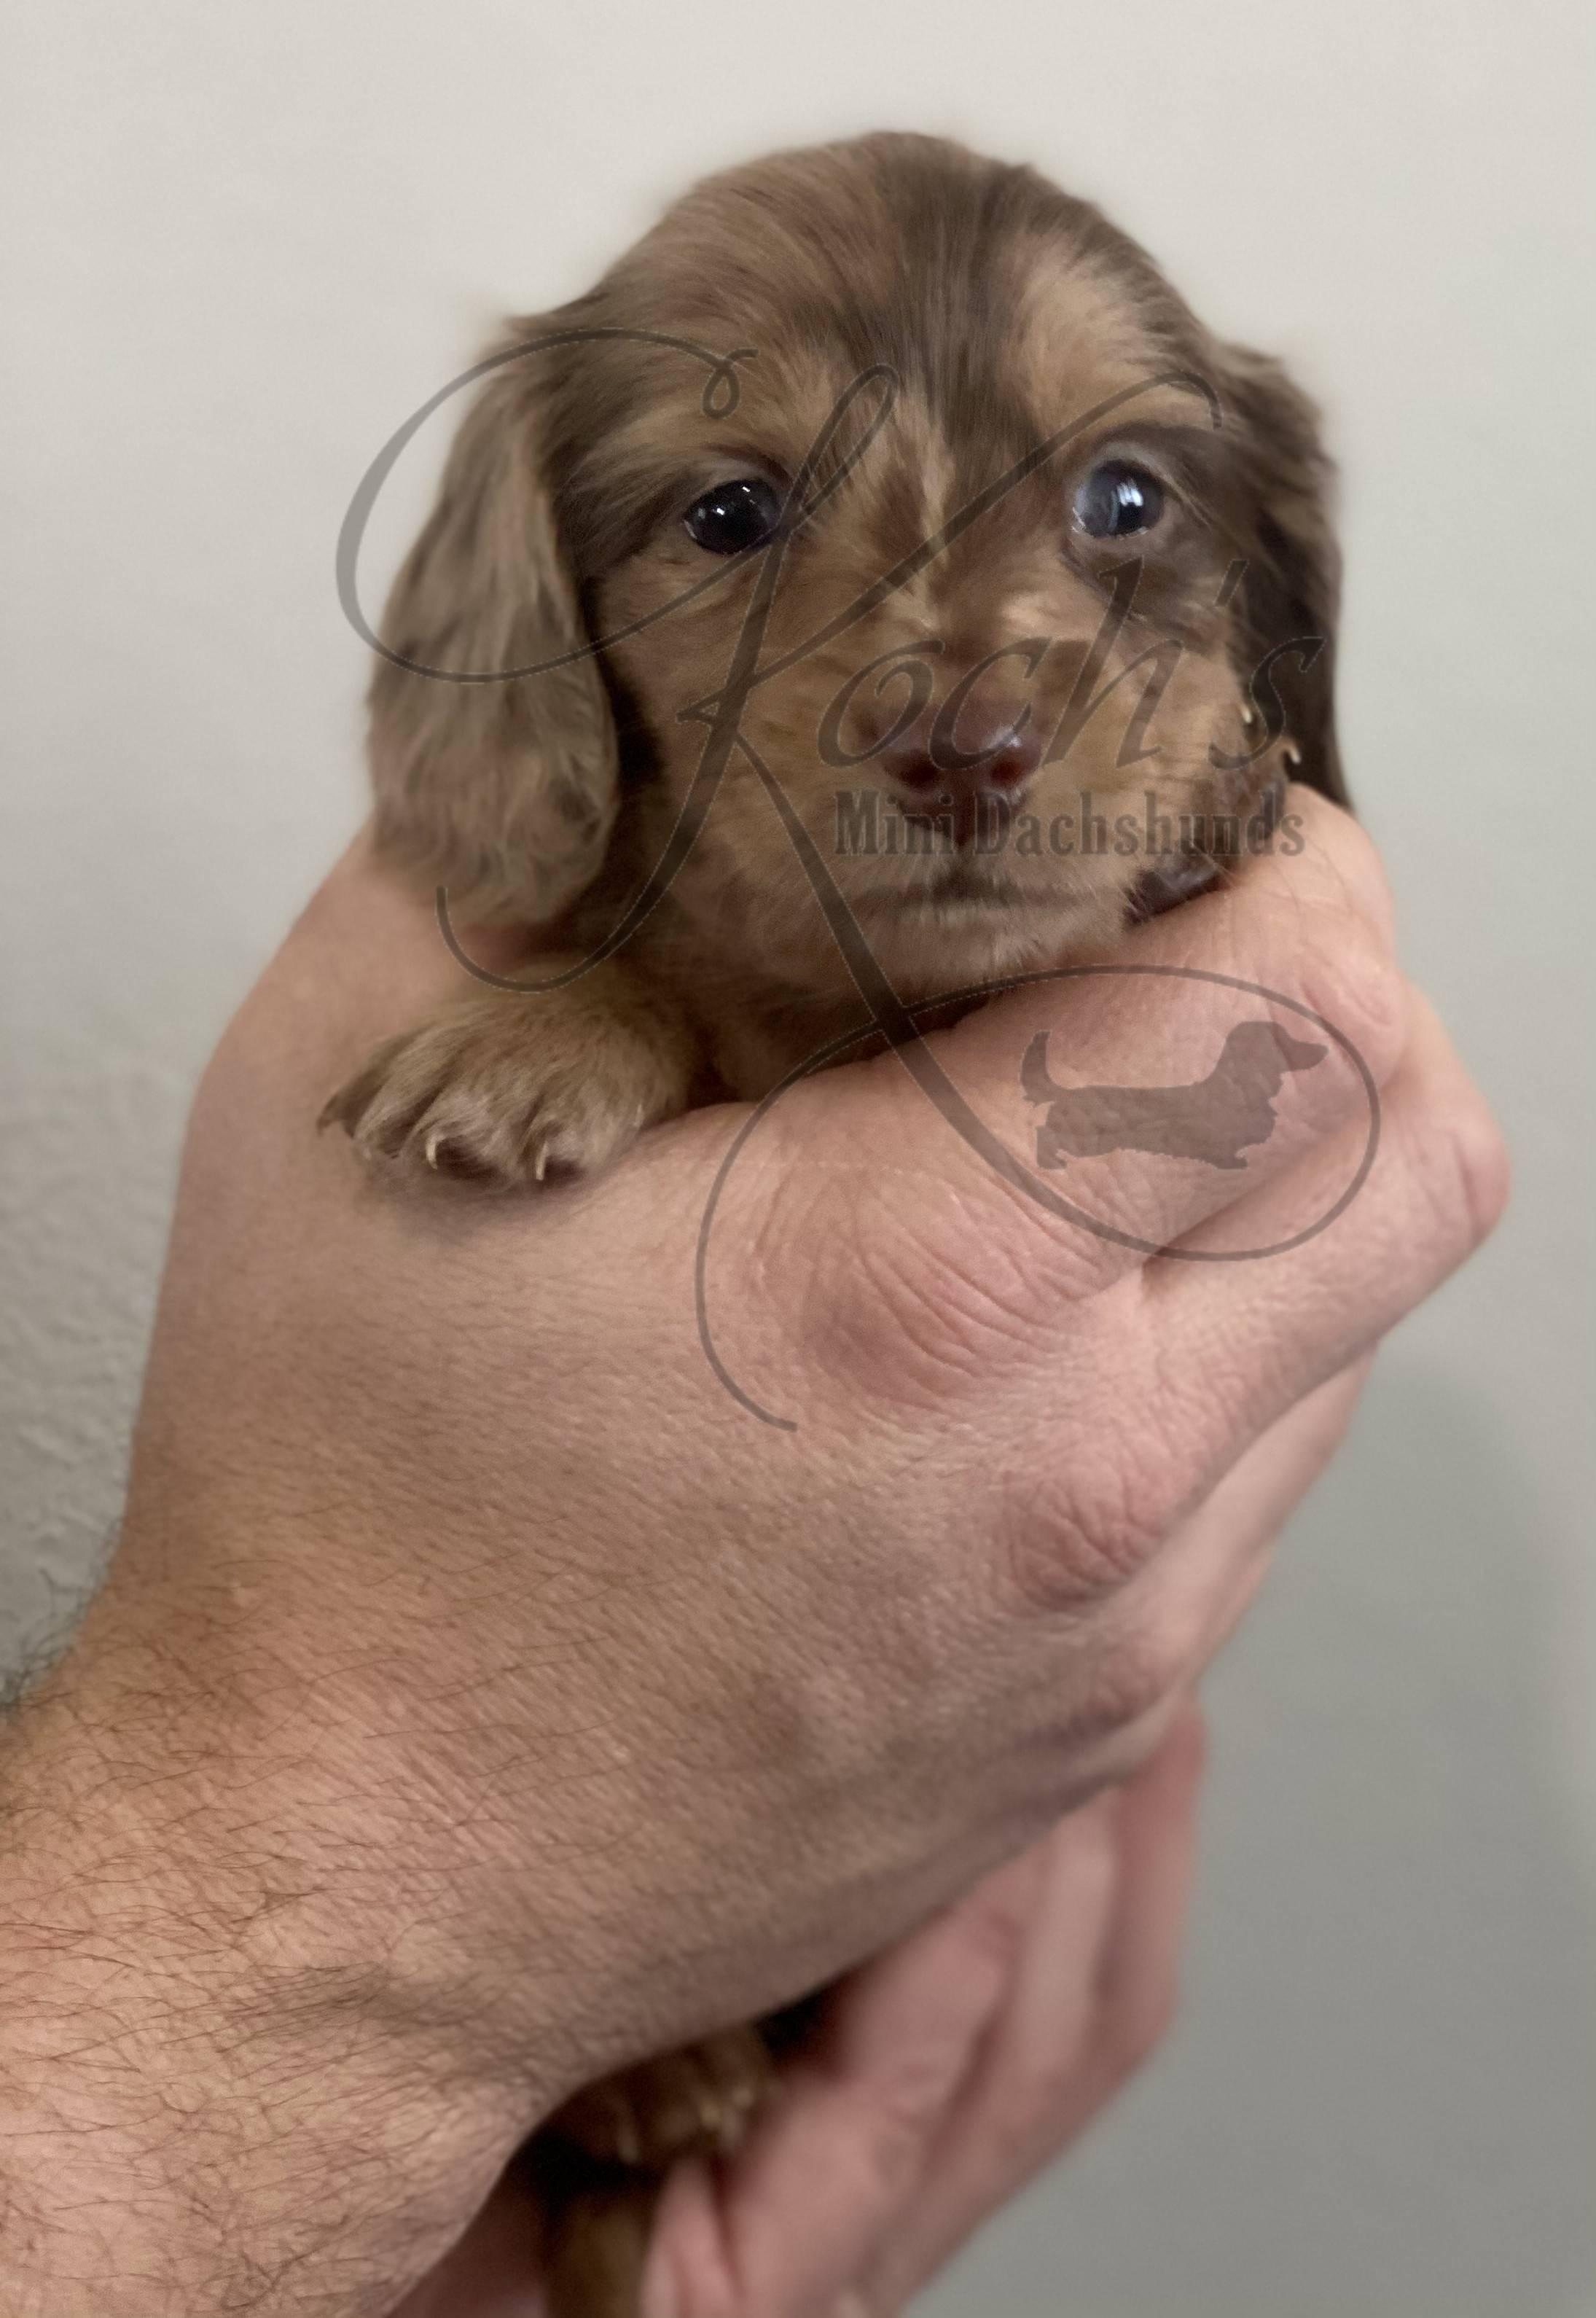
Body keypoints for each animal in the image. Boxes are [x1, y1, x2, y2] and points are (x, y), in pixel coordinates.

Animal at [1023, 1018, 1330, 1172]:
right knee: (1044, 1133)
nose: (1325, 1048)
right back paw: (1052, 1164)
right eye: (1286, 1041)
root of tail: (1067, 1093)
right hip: (1088, 1141)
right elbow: (1220, 1154)